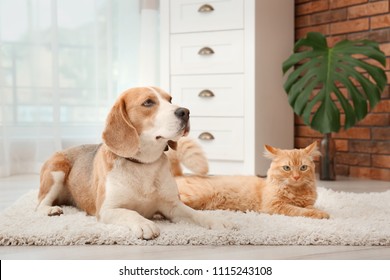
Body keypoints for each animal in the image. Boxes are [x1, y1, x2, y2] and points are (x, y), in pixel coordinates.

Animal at [36, 87, 232, 238]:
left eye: (170, 99)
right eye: (148, 102)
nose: (185, 112)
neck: (142, 164)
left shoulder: (172, 206)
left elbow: (196, 213)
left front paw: (216, 220)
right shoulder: (107, 210)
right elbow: (130, 212)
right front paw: (144, 223)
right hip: (57, 172)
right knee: (39, 204)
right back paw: (50, 210)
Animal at [168, 139, 330, 220]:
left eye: (303, 168)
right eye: (287, 168)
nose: (296, 177)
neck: (296, 191)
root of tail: (178, 175)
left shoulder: (307, 203)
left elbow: (310, 208)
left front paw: (320, 211)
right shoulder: (275, 206)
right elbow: (300, 210)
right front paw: (322, 214)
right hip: (193, 196)